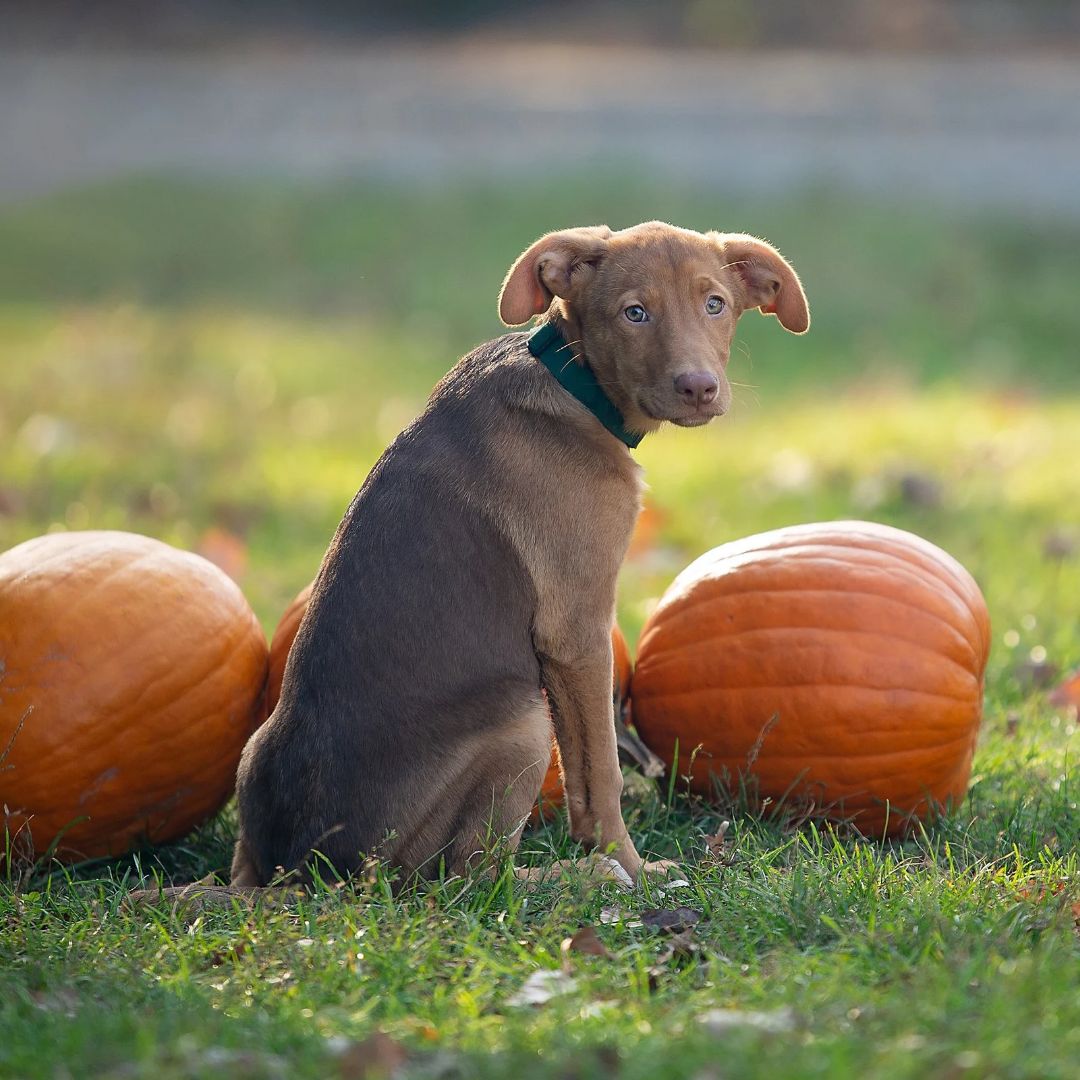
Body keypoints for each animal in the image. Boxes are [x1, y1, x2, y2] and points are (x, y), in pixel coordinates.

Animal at [232, 219, 807, 885]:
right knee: (469, 875)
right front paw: (630, 864)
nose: (698, 388)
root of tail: (300, 870)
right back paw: (575, 876)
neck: (575, 384)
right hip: (519, 721)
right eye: (634, 313)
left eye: (715, 303)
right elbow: (600, 772)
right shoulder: (577, 631)